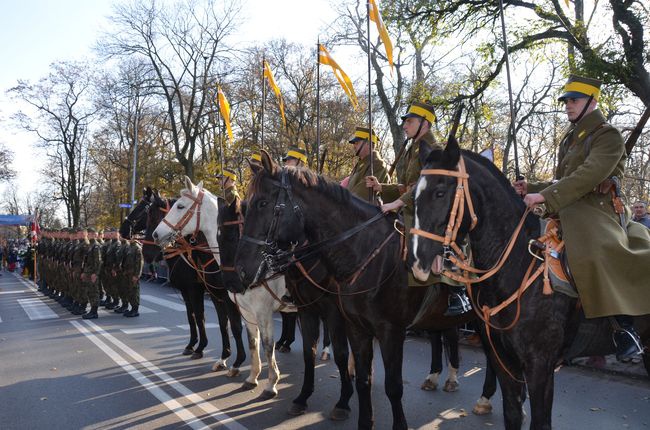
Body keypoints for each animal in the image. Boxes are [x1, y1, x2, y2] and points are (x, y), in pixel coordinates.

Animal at [136, 190, 246, 372]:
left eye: (147, 213)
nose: (147, 254)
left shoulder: (202, 291)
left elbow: (210, 319)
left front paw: (201, 348)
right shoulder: (196, 291)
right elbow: (195, 317)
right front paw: (194, 346)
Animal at [216, 194, 354, 420]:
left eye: (234, 237)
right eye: (218, 239)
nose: (232, 284)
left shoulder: (263, 313)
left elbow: (266, 345)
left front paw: (271, 384)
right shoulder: (247, 314)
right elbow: (253, 343)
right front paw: (252, 378)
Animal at [233, 152, 470, 430]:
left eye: (262, 203)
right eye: (244, 207)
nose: (240, 270)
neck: (364, 252)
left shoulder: (383, 329)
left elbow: (381, 378)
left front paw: (343, 402)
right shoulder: (322, 316)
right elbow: (322, 360)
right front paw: (305, 398)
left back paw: (461, 385)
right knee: (440, 338)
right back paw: (436, 377)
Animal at [410, 139, 648, 430]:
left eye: (440, 192)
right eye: (414, 196)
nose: (418, 261)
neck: (516, 265)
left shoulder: (539, 366)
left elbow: (540, 422)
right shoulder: (504, 360)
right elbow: (512, 413)